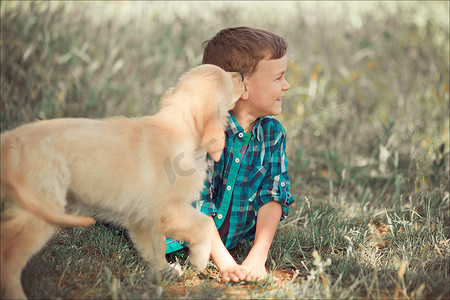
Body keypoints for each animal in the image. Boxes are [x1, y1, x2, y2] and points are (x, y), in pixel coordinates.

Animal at [0, 63, 246, 298]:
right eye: (228, 79)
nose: (242, 76)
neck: (179, 129)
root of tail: (11, 139)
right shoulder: (166, 208)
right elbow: (203, 224)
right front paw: (199, 259)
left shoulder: (143, 217)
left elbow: (155, 246)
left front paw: (164, 270)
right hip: (38, 209)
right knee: (9, 257)